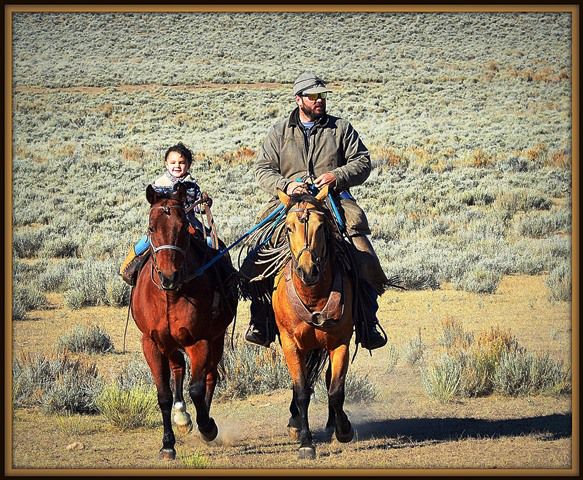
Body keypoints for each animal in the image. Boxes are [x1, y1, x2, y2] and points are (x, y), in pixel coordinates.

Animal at [130, 183, 237, 458]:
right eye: (151, 228)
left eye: (182, 228)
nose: (169, 276)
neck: (170, 295)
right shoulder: (151, 343)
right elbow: (164, 395)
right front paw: (168, 444)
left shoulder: (200, 341)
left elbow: (197, 388)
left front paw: (207, 427)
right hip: (169, 343)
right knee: (178, 368)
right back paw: (182, 416)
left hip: (216, 340)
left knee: (210, 376)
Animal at [272, 186, 354, 460]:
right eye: (288, 228)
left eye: (321, 226)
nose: (308, 271)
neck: (313, 296)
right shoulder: (290, 345)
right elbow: (302, 392)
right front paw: (306, 442)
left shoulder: (340, 343)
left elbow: (335, 389)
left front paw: (343, 429)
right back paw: (296, 424)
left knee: (329, 380)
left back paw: (332, 425)